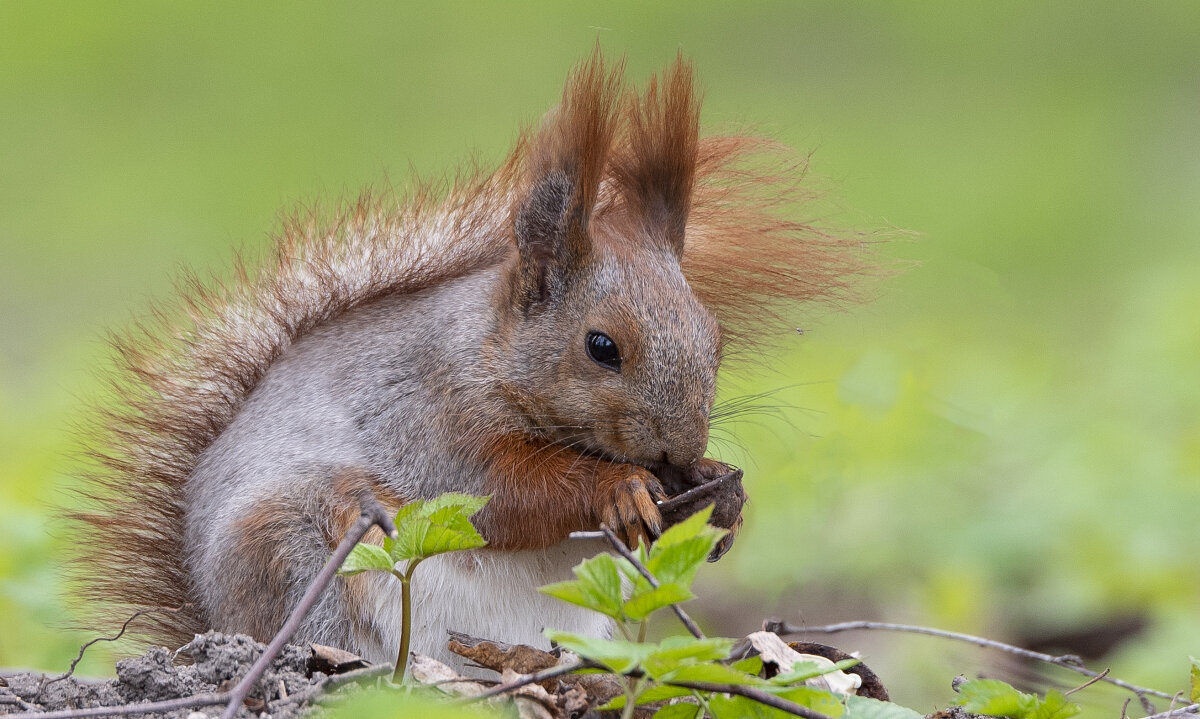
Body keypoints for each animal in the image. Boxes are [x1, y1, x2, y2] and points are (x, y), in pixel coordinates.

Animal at [72, 50, 864, 667]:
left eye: (716, 337)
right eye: (601, 346)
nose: (678, 449)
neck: (488, 354)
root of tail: (208, 630)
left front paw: (720, 494)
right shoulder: (432, 421)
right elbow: (506, 496)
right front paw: (616, 488)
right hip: (291, 551)